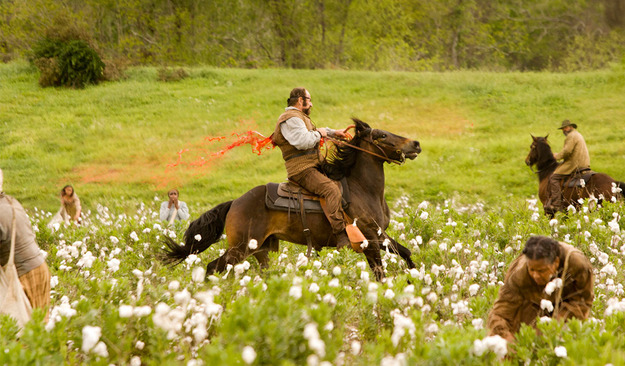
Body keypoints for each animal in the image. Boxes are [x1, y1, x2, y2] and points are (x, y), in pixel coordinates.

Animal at [163, 119, 422, 280]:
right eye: (382, 135)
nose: (416, 143)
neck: (363, 189)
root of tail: (235, 202)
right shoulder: (371, 240)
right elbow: (381, 273)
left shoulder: (380, 236)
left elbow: (406, 253)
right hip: (240, 248)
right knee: (212, 267)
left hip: (261, 250)